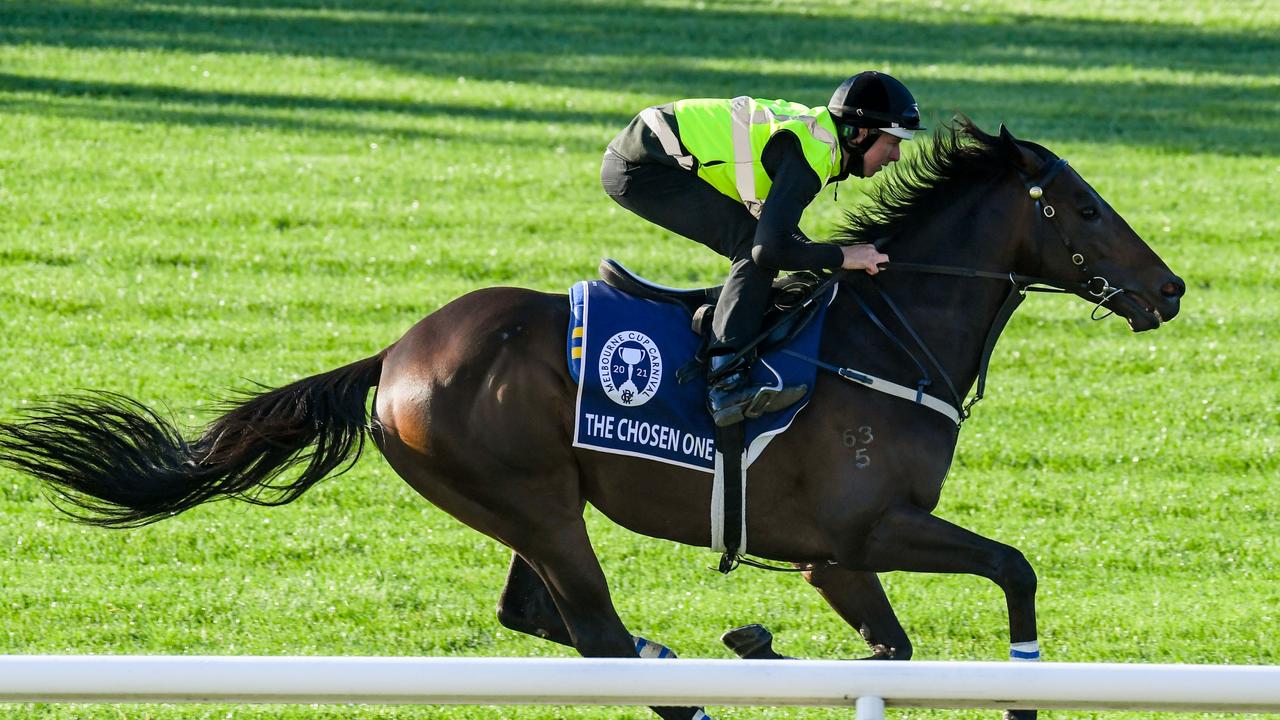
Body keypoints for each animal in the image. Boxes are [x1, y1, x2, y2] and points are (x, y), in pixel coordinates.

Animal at [0, 120, 1182, 712]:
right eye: (1084, 209)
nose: (1168, 290)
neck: (884, 339)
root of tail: (396, 356)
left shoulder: (835, 559)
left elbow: (897, 647)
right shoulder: (857, 534)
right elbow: (1010, 570)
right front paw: (1017, 684)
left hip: (525, 508)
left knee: (547, 621)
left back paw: (692, 662)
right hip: (533, 501)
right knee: (596, 633)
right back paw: (688, 680)